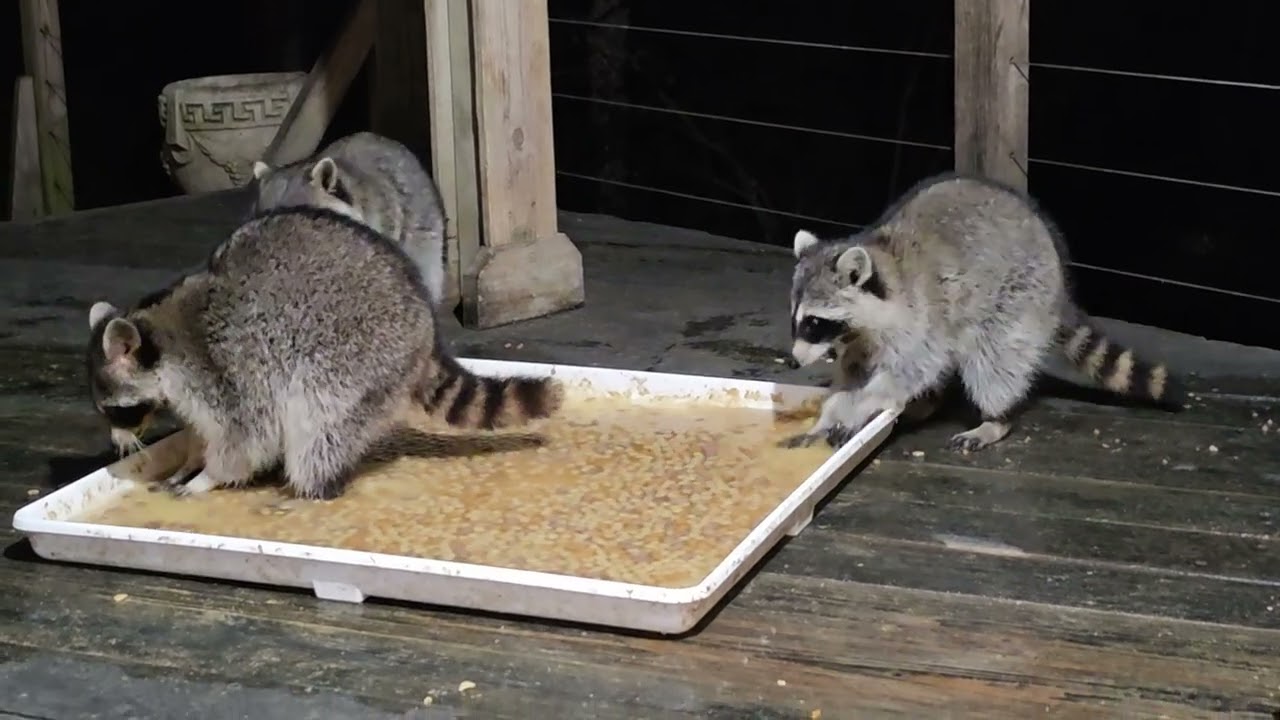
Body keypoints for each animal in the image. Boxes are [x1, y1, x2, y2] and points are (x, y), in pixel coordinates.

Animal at [85, 206, 562, 500]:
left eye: (115, 410)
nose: (118, 447)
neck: (159, 335)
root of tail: (424, 323)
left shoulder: (225, 370)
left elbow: (246, 438)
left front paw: (209, 476)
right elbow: (202, 432)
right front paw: (189, 461)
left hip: (357, 356)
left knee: (316, 424)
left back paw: (309, 489)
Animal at [784, 172, 1182, 451]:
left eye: (815, 323)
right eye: (796, 321)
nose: (793, 361)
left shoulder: (920, 320)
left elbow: (904, 373)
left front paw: (858, 406)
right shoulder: (860, 339)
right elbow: (854, 374)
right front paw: (830, 413)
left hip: (1019, 296)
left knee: (994, 362)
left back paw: (996, 419)